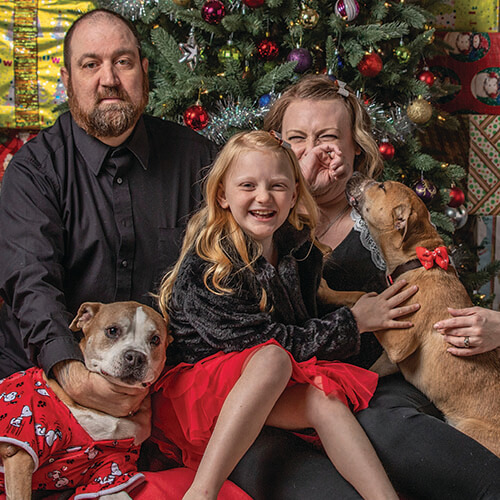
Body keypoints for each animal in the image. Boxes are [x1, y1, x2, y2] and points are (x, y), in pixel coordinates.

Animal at [344, 172, 500, 458]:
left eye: (381, 185)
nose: (355, 174)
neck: (417, 260)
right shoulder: (389, 359)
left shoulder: (398, 343)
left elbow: (364, 297)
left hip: (470, 431)